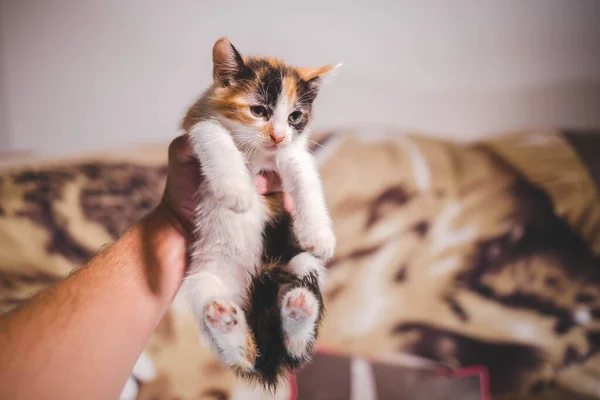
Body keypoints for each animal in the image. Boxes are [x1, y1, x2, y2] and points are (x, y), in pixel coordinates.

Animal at [180, 37, 340, 388]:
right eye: (258, 111)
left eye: (295, 116)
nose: (277, 135)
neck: (255, 153)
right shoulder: (198, 122)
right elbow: (212, 136)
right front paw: (236, 191)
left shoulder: (291, 151)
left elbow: (303, 173)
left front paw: (319, 234)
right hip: (201, 280)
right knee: (247, 357)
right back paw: (225, 320)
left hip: (297, 261)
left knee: (294, 349)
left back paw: (300, 306)